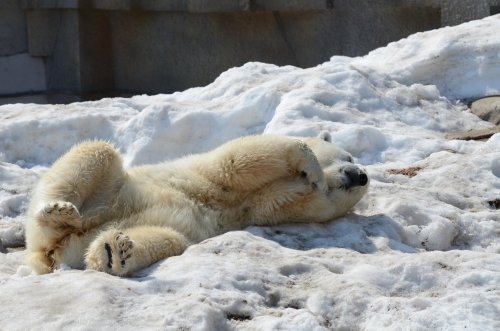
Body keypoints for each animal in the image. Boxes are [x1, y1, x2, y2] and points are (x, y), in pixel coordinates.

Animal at [24, 134, 368, 276]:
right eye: (349, 155)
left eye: (357, 193)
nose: (361, 175)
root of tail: (54, 252)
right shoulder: (212, 175)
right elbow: (238, 160)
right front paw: (311, 168)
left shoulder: (257, 207)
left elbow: (279, 202)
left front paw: (312, 185)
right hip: (108, 191)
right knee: (96, 153)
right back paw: (58, 212)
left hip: (128, 229)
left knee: (164, 239)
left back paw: (114, 252)